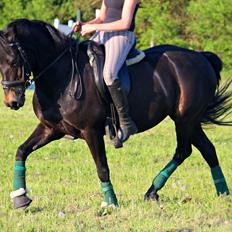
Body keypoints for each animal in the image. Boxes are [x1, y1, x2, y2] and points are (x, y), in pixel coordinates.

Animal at [0, 19, 232, 209]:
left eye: (14, 62)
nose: (12, 102)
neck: (63, 76)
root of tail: (201, 57)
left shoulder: (91, 132)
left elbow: (102, 167)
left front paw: (110, 202)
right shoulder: (51, 129)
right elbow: (21, 151)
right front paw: (20, 197)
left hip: (184, 120)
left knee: (183, 151)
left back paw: (153, 191)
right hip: (190, 121)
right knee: (207, 150)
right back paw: (222, 193)